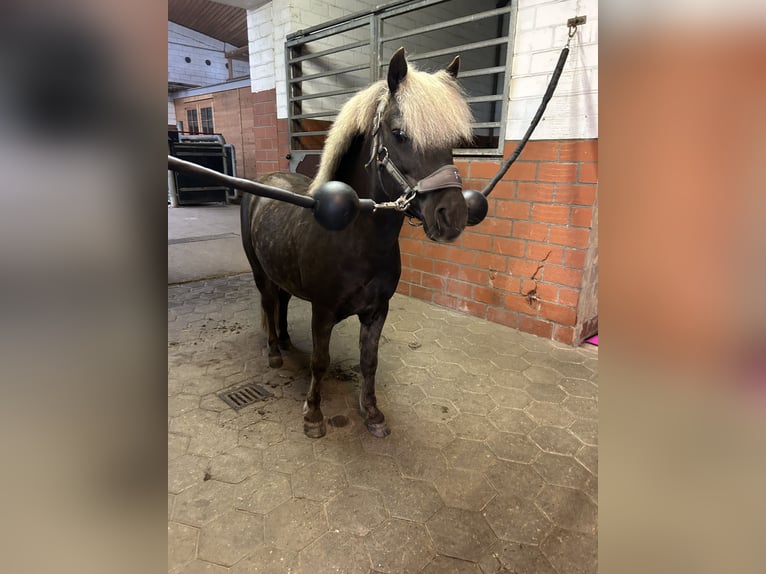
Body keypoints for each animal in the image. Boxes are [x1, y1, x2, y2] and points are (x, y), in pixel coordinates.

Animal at [241, 47, 474, 438]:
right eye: (399, 133)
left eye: (454, 142)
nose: (452, 217)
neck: (355, 240)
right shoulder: (322, 312)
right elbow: (320, 362)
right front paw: (313, 416)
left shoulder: (377, 311)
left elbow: (369, 362)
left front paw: (373, 414)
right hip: (260, 273)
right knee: (269, 304)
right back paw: (274, 352)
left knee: (282, 302)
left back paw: (286, 342)